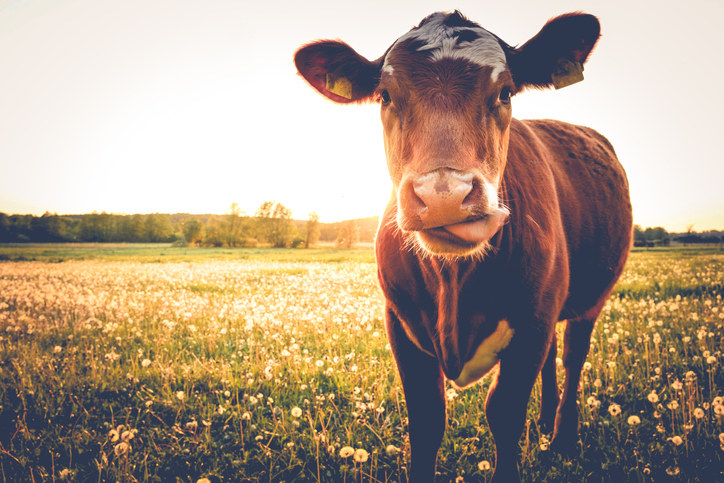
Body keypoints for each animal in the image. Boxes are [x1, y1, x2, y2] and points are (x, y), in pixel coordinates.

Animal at [294, 9, 632, 482]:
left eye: (505, 91)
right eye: (385, 96)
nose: (444, 195)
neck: (454, 282)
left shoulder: (532, 322)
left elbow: (504, 413)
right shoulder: (400, 323)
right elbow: (427, 419)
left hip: (589, 300)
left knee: (572, 357)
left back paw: (562, 437)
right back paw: (545, 424)